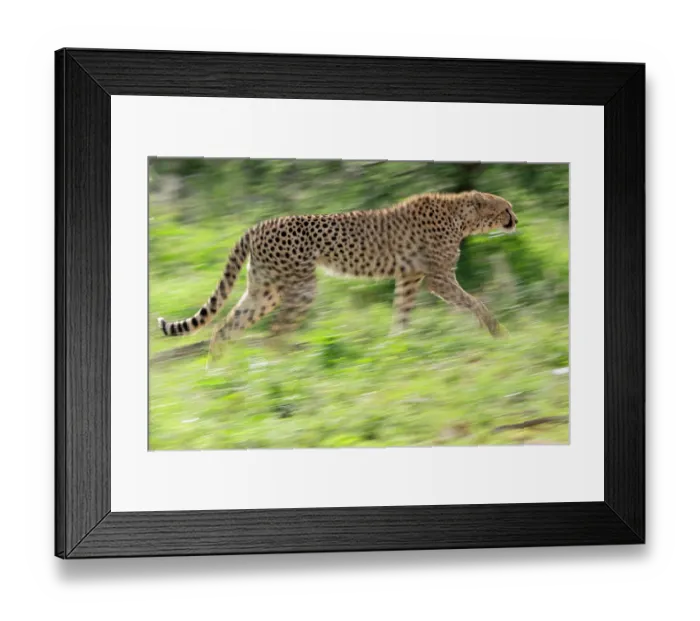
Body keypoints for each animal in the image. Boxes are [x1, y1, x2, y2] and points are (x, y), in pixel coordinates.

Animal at [157, 190, 518, 359]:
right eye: (506, 208)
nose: (516, 220)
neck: (461, 216)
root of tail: (260, 224)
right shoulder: (437, 278)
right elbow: (475, 302)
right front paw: (498, 332)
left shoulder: (409, 278)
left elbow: (401, 316)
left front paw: (396, 348)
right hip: (300, 289)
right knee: (275, 335)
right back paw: (281, 373)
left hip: (265, 290)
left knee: (226, 328)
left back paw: (223, 372)